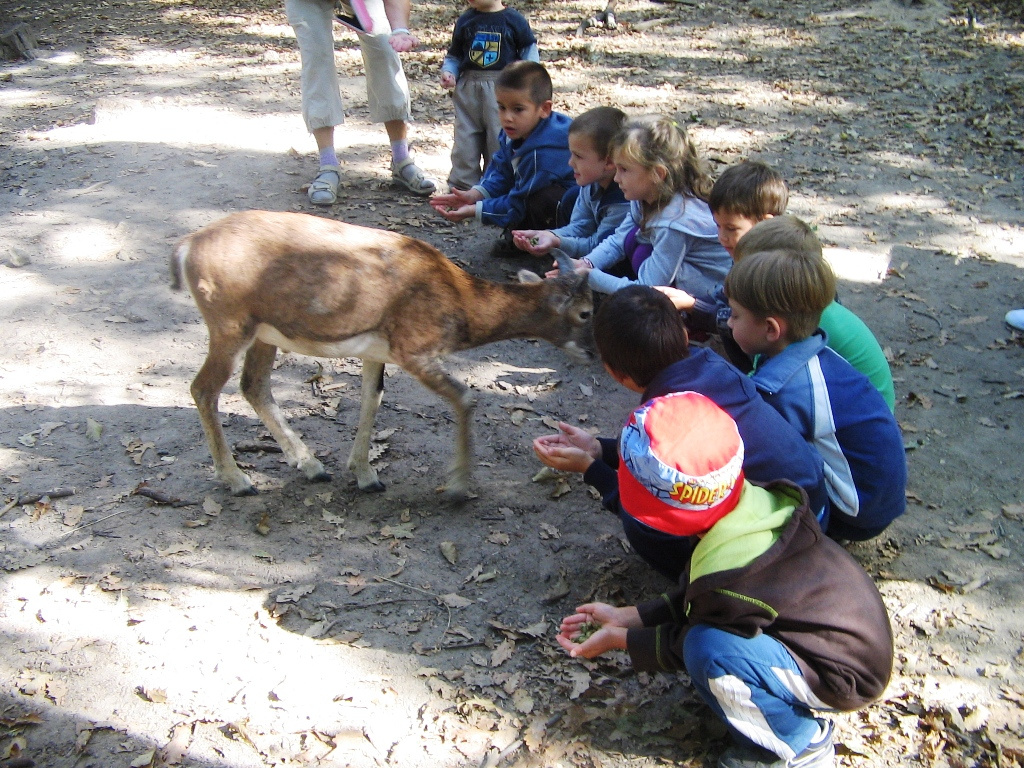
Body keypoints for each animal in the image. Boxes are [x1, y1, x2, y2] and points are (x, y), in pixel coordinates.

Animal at [167, 210, 593, 501]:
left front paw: (365, 475)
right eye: (587, 311)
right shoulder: (414, 347)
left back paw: (311, 466)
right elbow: (466, 397)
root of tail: (186, 246)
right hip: (229, 323)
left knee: (253, 385)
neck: (460, 301)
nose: (593, 351)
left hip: (262, 332)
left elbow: (373, 398)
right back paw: (238, 480)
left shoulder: (377, 350)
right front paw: (458, 485)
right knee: (203, 388)